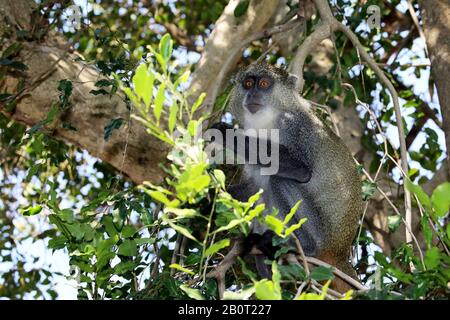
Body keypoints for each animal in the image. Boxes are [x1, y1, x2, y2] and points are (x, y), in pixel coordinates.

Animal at [213, 62, 364, 292]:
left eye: (263, 83)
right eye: (247, 83)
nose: (252, 94)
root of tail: (340, 251)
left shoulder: (294, 125)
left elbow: (300, 169)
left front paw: (225, 133)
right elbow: (255, 186)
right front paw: (208, 201)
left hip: (320, 233)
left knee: (279, 180)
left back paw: (303, 247)